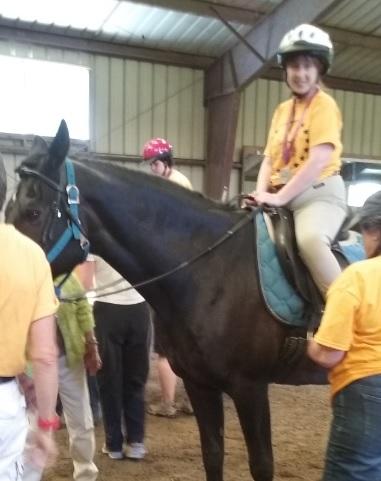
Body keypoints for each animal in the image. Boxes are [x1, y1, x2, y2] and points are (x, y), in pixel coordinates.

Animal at [5, 121, 326, 480]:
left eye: (33, 212)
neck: (212, 268)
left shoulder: (251, 389)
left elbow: (261, 464)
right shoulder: (201, 384)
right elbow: (213, 455)